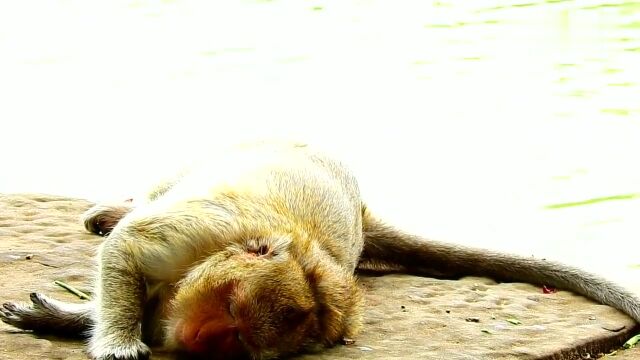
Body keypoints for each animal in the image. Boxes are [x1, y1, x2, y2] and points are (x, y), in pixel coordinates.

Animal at [1, 141, 640, 360]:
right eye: (231, 307)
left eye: (237, 340)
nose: (202, 339)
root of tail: (362, 210)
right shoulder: (199, 229)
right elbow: (131, 247)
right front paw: (115, 342)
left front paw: (73, 320)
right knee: (152, 200)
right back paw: (111, 212)